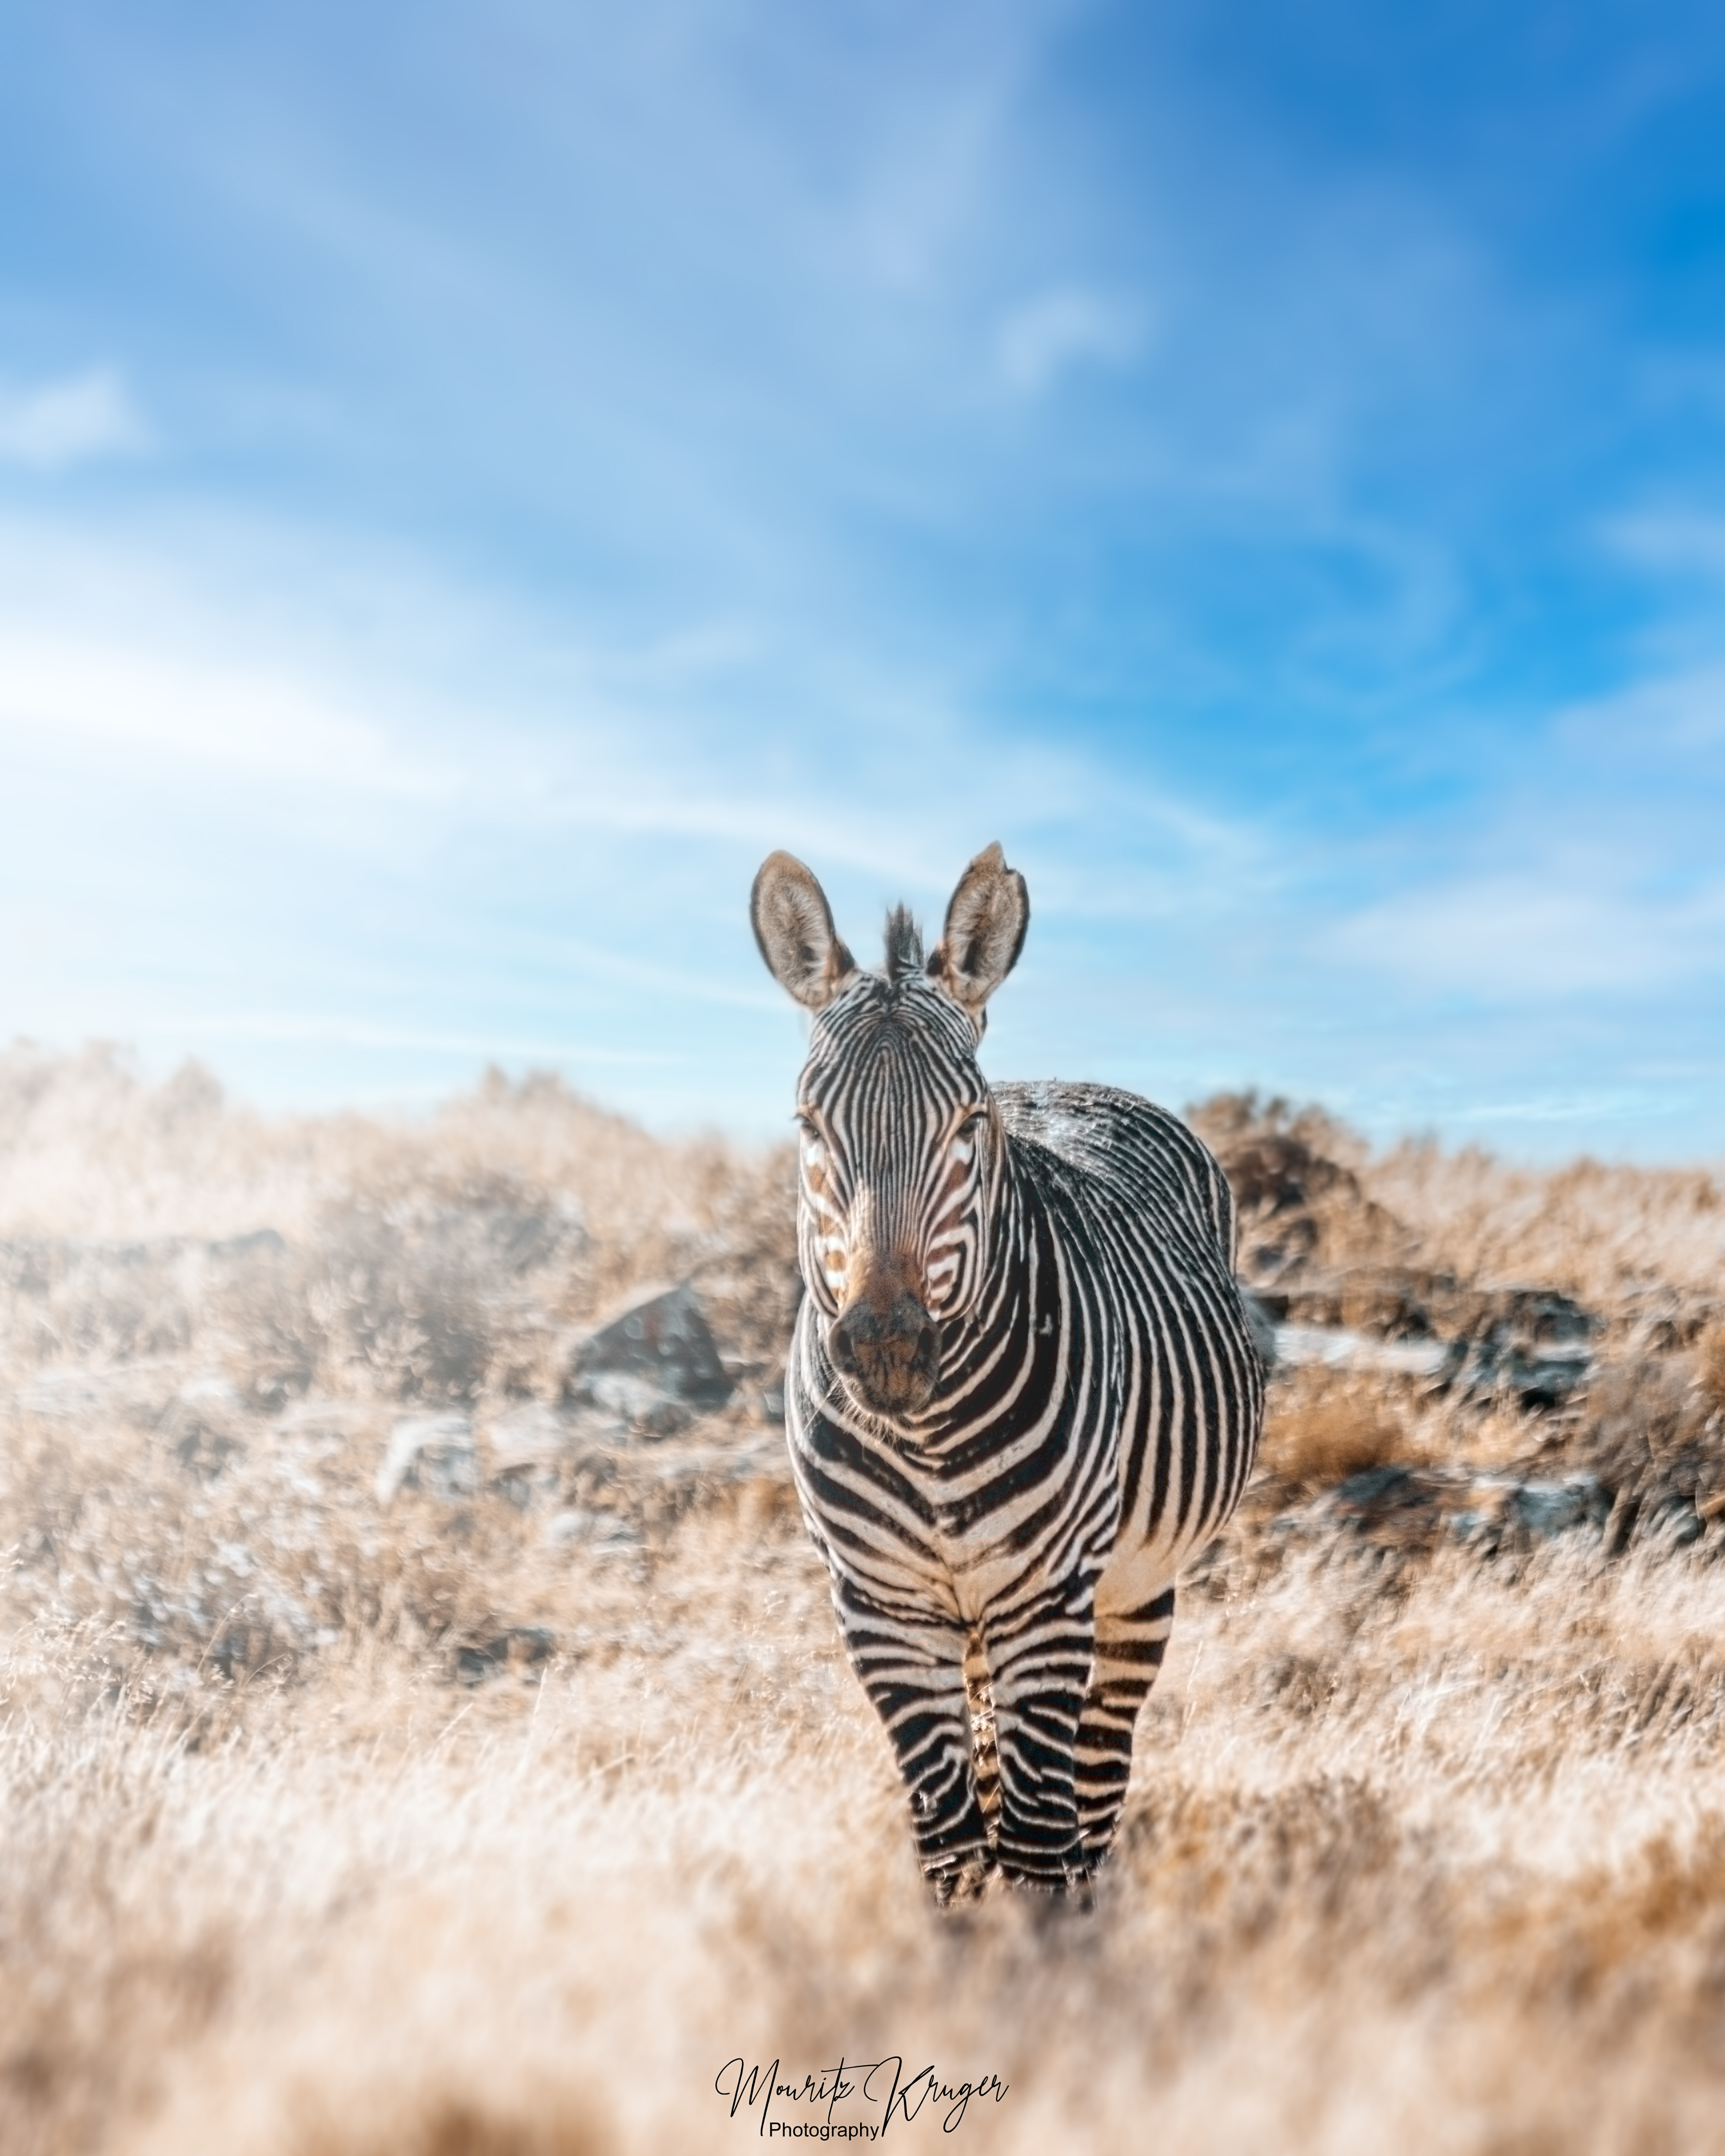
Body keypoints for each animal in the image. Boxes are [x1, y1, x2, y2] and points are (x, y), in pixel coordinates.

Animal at [751, 842, 1265, 1901]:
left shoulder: (1048, 1600)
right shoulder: (880, 1609)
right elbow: (951, 1849)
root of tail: (1068, 1083)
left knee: (1095, 1787)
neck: (927, 1438)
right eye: (808, 1123)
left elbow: (1034, 1844)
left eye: (967, 1124)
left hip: (1132, 1588)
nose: (888, 1347)